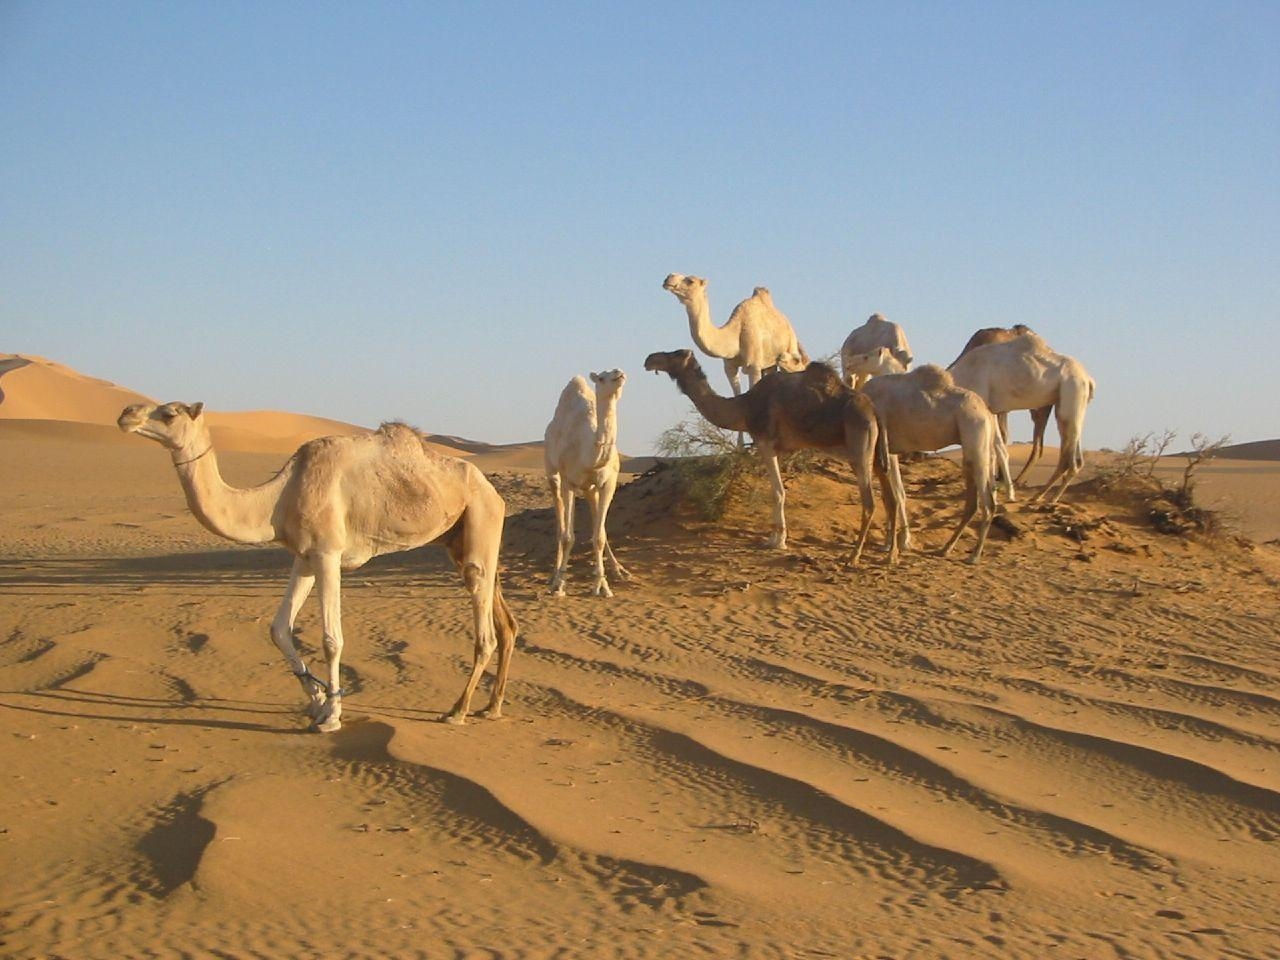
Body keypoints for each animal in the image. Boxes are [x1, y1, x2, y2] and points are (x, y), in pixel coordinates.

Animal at [117, 401, 517, 732]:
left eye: (169, 413)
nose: (126, 414)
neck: (278, 498)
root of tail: (494, 492)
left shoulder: (328, 553)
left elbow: (331, 640)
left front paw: (332, 716)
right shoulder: (304, 557)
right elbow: (278, 629)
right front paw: (318, 700)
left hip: (480, 518)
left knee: (485, 631)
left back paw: (458, 711)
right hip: (461, 539)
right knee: (504, 619)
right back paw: (492, 707)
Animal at [542, 371, 632, 599]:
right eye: (601, 377)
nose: (619, 373)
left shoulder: (608, 483)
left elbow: (599, 536)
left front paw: (603, 586)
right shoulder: (569, 482)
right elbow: (568, 537)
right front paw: (560, 584)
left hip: (591, 489)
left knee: (598, 523)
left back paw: (619, 571)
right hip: (552, 472)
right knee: (560, 524)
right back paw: (553, 576)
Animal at [645, 350, 896, 563]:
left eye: (675, 354)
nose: (649, 359)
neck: (743, 408)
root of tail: (874, 411)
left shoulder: (765, 442)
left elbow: (777, 492)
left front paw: (776, 541)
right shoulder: (778, 449)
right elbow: (780, 491)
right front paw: (777, 537)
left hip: (859, 447)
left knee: (870, 502)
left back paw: (853, 556)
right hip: (876, 454)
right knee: (891, 498)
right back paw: (891, 556)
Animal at [844, 350, 1013, 563]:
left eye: (866, 356)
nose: (849, 363)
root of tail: (987, 413)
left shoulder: (885, 446)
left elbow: (895, 494)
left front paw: (898, 544)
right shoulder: (889, 450)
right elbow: (893, 493)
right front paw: (890, 544)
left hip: (975, 433)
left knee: (988, 502)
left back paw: (974, 556)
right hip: (974, 447)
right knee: (973, 502)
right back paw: (945, 549)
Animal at [947, 335, 1095, 506]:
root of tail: (1089, 379)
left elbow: (991, 450)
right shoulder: (990, 410)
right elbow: (998, 448)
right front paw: (1001, 495)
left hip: (1072, 392)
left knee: (1072, 460)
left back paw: (1050, 500)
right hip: (1069, 404)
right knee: (1073, 454)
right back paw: (1038, 496)